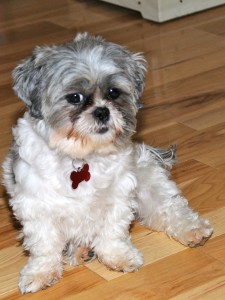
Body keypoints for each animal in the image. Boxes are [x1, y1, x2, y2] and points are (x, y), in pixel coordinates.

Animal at [2, 32, 213, 292]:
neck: (82, 156)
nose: (102, 111)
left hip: (148, 179)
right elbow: (44, 244)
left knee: (169, 207)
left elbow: (113, 231)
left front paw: (119, 256)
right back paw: (80, 250)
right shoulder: (36, 204)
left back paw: (192, 229)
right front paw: (40, 272)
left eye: (113, 92)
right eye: (74, 97)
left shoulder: (118, 194)